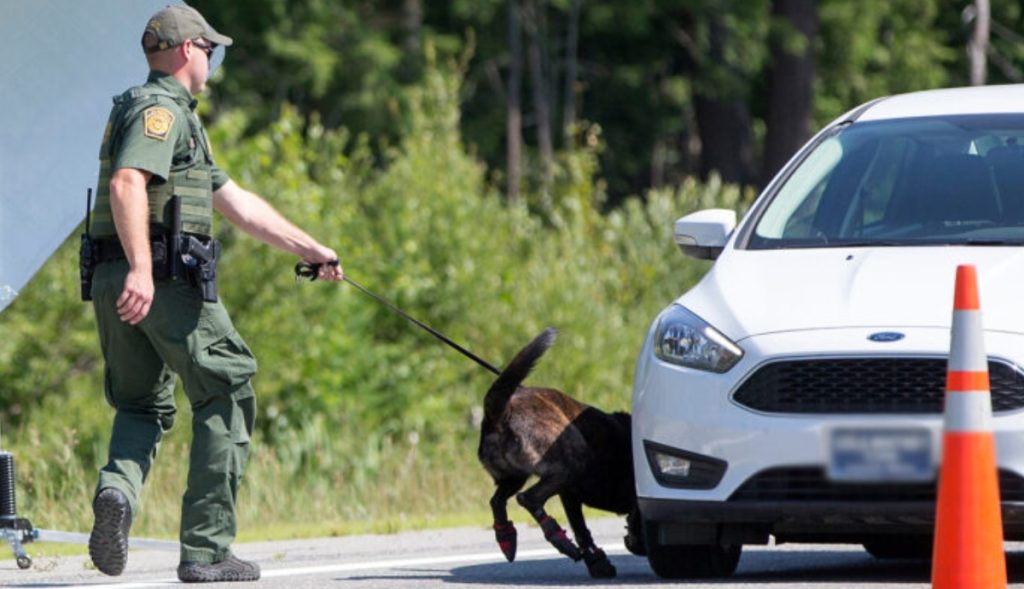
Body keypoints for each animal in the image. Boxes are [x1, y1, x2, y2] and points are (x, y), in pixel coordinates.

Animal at [477, 329, 638, 577]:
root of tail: (502, 413)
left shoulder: (569, 494)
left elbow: (581, 528)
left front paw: (596, 562)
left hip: (516, 476)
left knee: (497, 500)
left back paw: (506, 537)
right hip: (573, 463)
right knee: (527, 498)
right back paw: (557, 538)